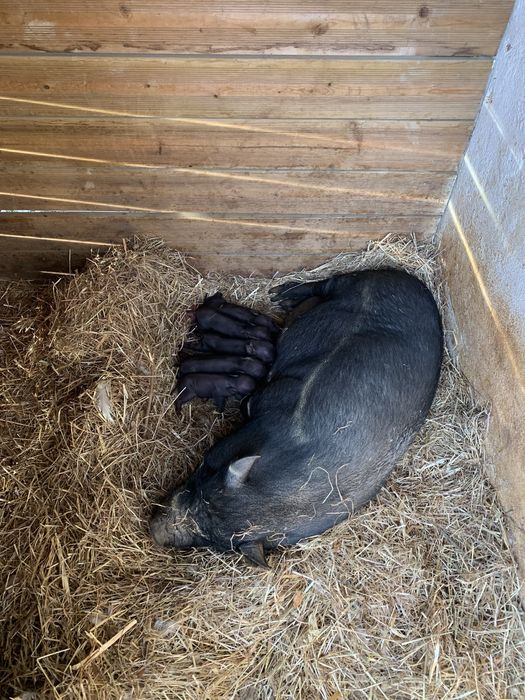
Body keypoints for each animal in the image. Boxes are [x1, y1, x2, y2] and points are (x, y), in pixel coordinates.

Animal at [152, 268, 443, 567]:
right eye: (203, 473)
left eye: (212, 542)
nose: (155, 532)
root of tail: (417, 284)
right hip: (359, 281)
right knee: (329, 282)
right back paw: (280, 296)